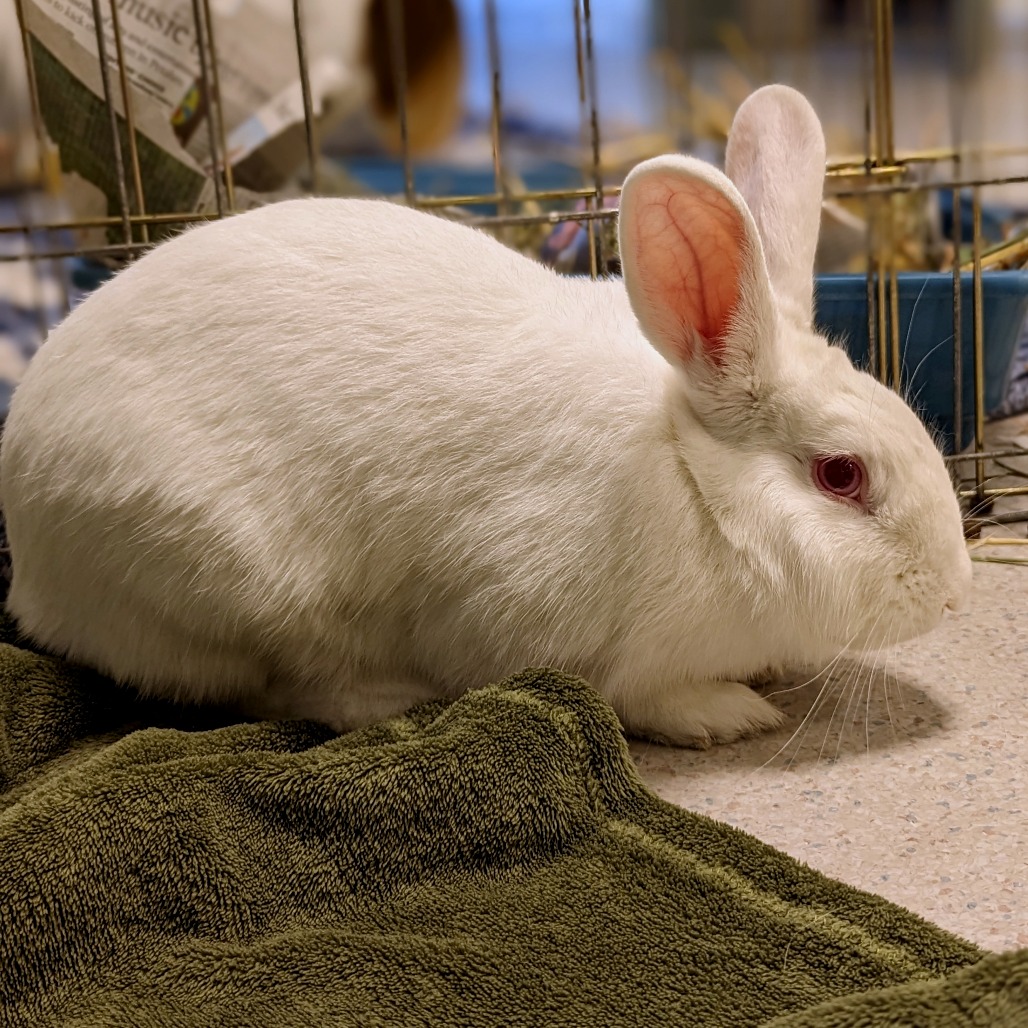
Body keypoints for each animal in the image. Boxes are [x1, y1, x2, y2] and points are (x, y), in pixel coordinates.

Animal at [0, 84, 972, 747]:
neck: (695, 485)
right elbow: (637, 694)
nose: (953, 592)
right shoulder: (545, 626)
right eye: (841, 475)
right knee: (270, 692)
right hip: (231, 584)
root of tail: (32, 571)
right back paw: (390, 698)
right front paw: (727, 713)